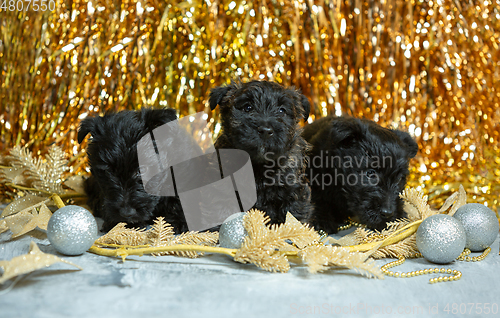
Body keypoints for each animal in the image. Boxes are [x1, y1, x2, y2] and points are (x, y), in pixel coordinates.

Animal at [210, 80, 312, 225]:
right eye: (248, 107)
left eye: (282, 110)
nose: (265, 130)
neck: (258, 164)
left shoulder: (294, 191)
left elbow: (294, 216)